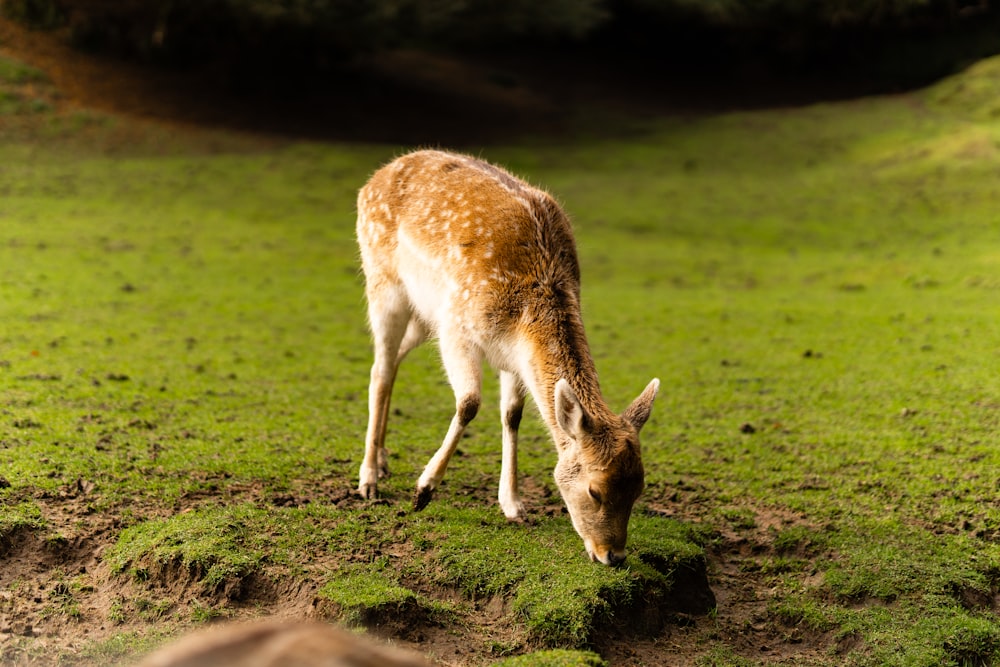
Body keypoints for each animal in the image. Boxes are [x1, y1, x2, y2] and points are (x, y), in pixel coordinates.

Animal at [356, 149, 660, 568]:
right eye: (594, 490)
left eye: (639, 488)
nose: (612, 555)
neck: (522, 316)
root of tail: (379, 174)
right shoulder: (457, 327)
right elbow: (469, 403)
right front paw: (423, 491)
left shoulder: (513, 357)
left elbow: (512, 414)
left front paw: (513, 505)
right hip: (383, 283)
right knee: (379, 368)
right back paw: (368, 478)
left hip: (422, 315)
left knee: (393, 362)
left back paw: (384, 460)